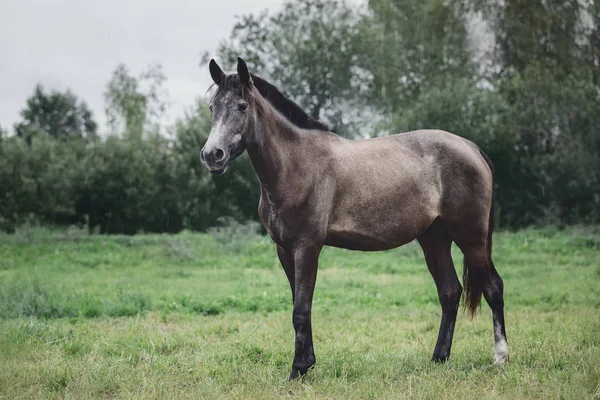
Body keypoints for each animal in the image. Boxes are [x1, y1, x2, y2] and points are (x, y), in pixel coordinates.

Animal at [199, 57, 508, 380]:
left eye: (242, 106)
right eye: (212, 107)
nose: (212, 155)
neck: (296, 164)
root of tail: (472, 149)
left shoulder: (307, 248)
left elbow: (301, 310)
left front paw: (297, 370)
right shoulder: (284, 250)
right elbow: (299, 306)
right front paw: (307, 363)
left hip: (470, 237)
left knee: (493, 287)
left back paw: (500, 357)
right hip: (434, 239)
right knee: (450, 291)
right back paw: (439, 358)